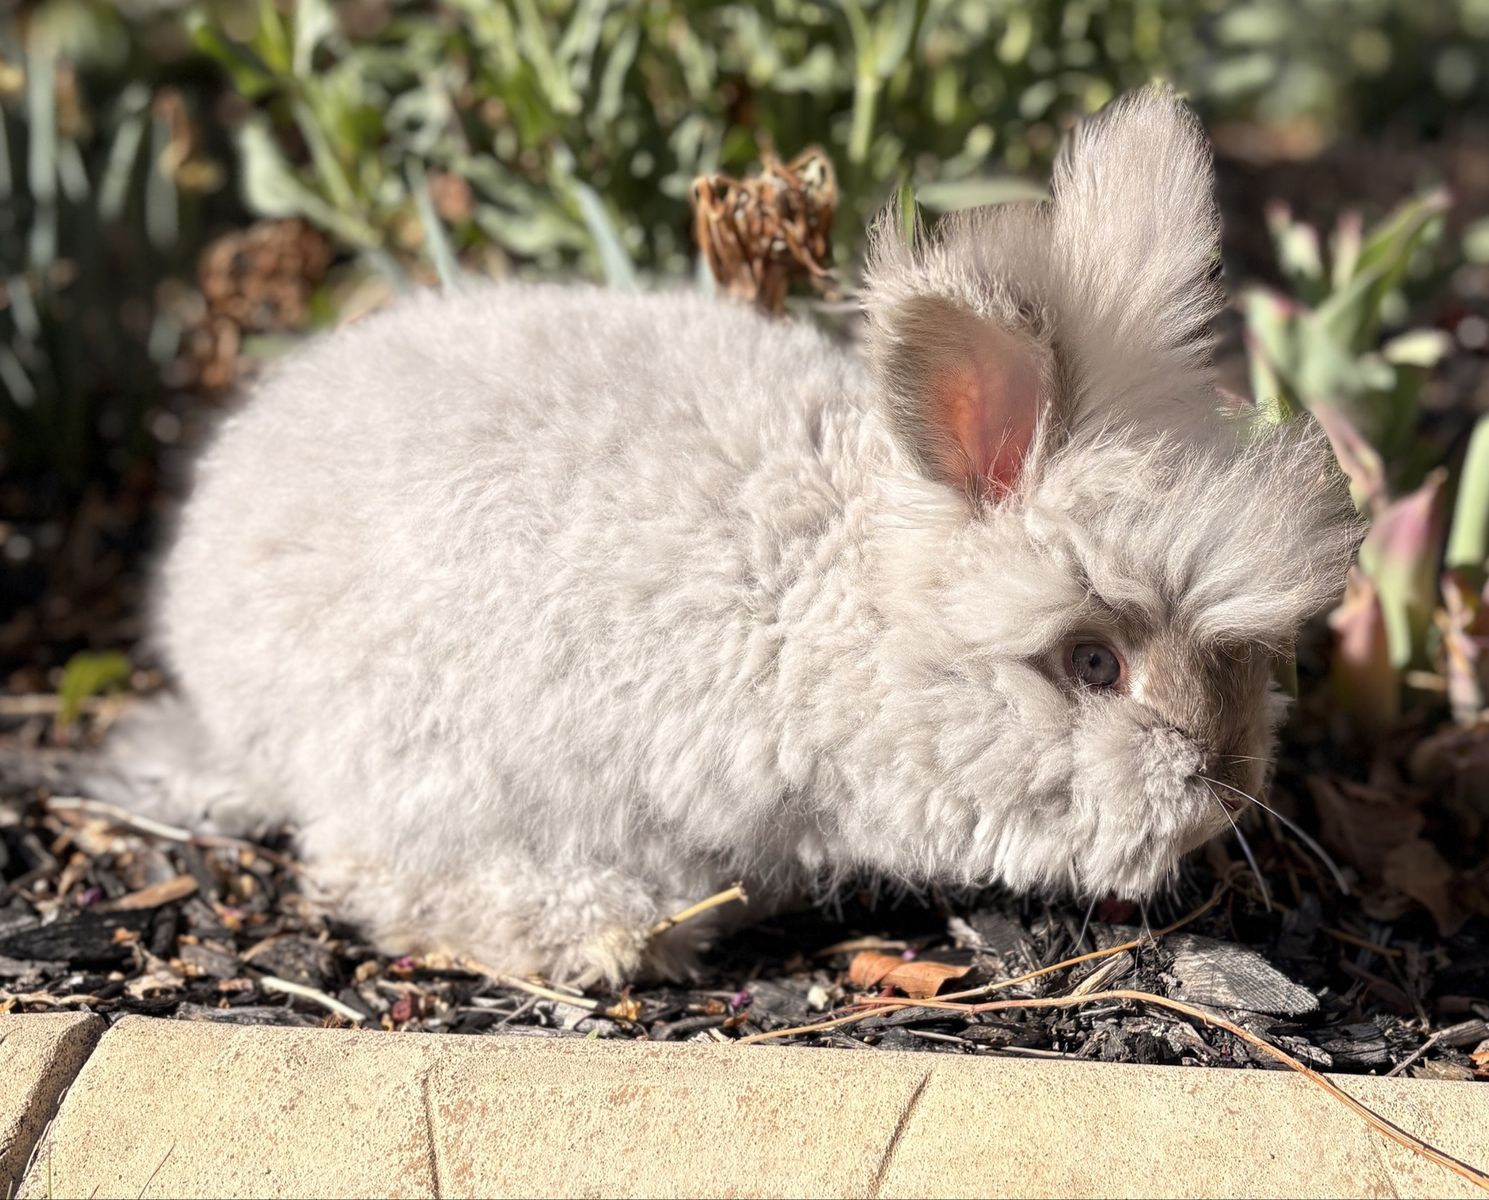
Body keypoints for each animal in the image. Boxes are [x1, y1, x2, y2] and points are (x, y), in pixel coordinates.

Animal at [80, 86, 1359, 985]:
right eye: (1091, 663)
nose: (1230, 784)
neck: (826, 608)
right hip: (415, 760)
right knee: (378, 871)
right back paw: (615, 935)